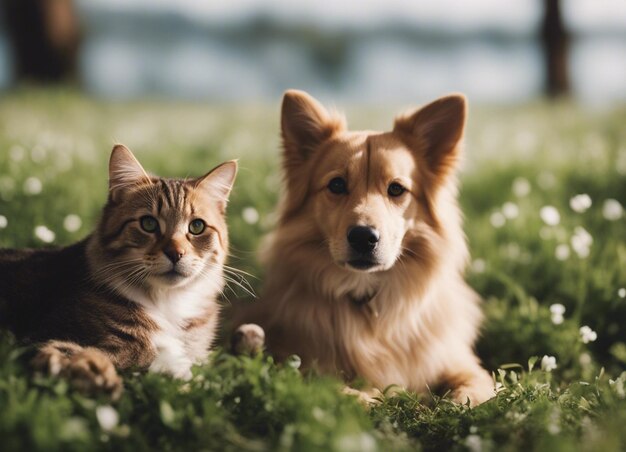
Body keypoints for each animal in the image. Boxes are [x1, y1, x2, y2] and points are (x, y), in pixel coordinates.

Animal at [0, 143, 236, 398]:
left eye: (197, 226)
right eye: (148, 224)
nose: (176, 253)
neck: (167, 304)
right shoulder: (35, 339)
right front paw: (96, 374)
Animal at [234, 89, 492, 406]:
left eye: (396, 189)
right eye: (336, 185)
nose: (363, 237)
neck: (369, 303)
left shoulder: (457, 361)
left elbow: (475, 386)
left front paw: (455, 403)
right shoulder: (300, 363)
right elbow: (339, 390)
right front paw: (371, 396)